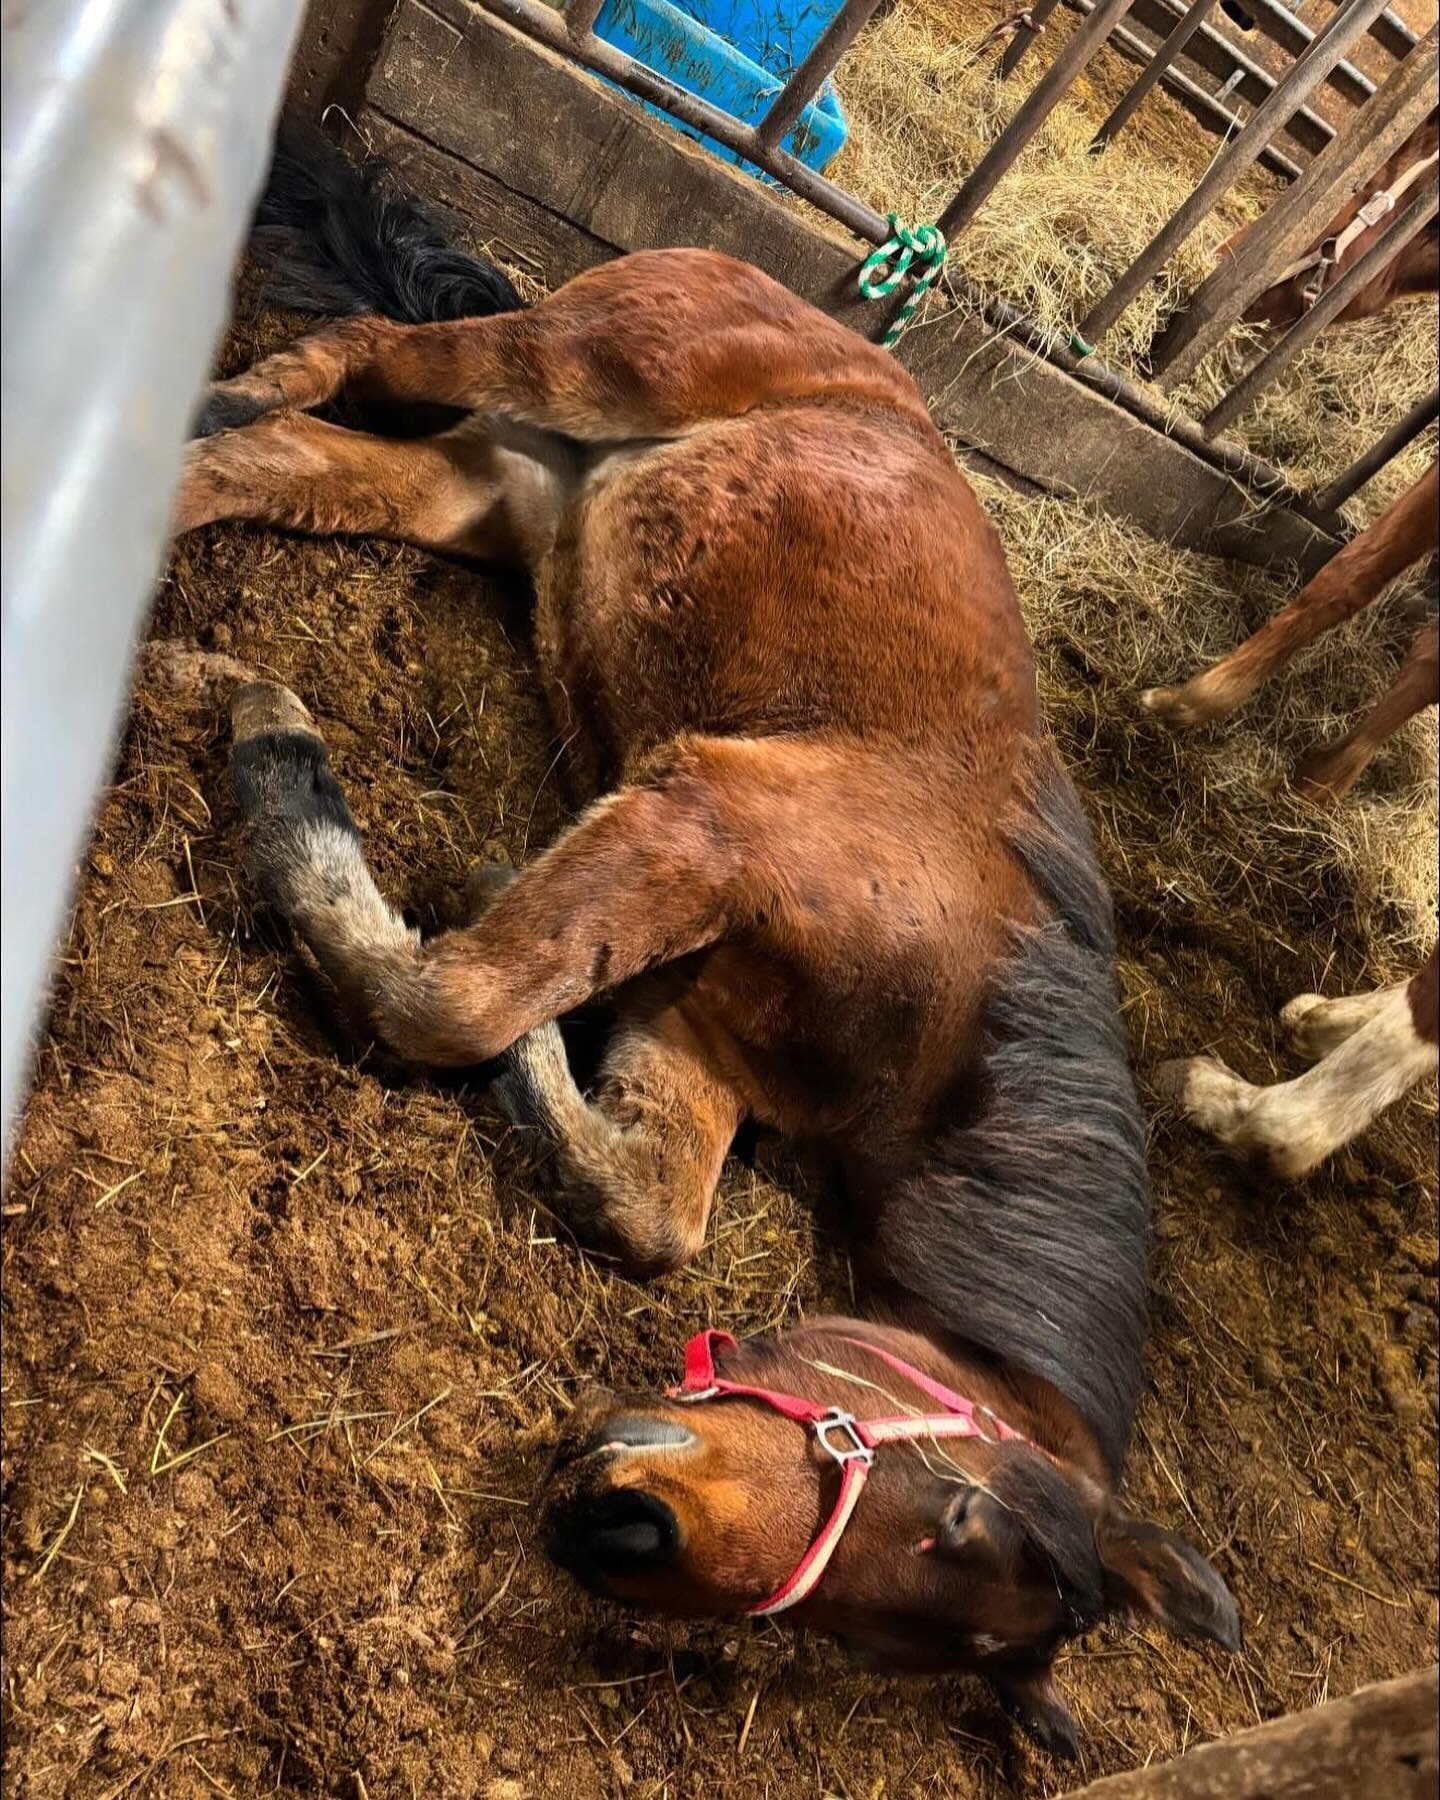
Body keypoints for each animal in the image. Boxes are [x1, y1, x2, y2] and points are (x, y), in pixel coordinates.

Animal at [178, 122, 1239, 1754]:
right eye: (957, 1511)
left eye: (864, 1636)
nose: (615, 1527)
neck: (954, 1017)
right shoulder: (703, 826)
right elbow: (454, 1002)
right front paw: (292, 779)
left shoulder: (695, 1034)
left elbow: (644, 1208)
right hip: (565, 367)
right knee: (358, 352)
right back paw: (240, 398)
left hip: (499, 492)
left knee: (285, 470)